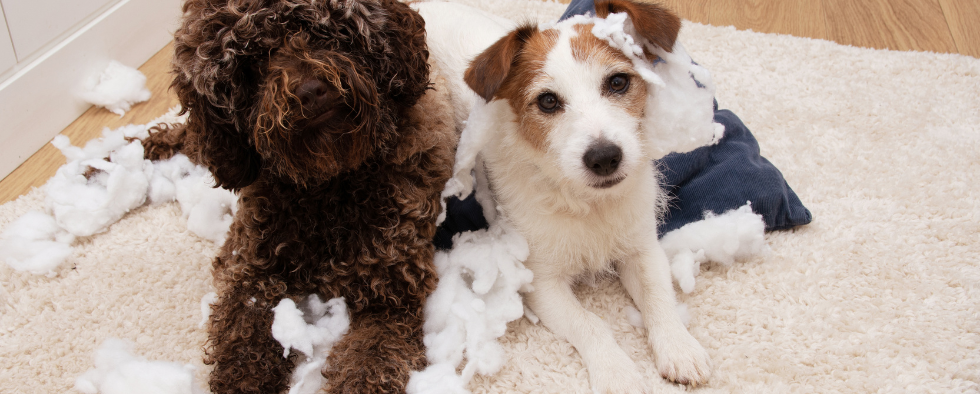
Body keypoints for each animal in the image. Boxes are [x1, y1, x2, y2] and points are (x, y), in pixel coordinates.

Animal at [142, 1, 460, 392]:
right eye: (251, 61)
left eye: (322, 30)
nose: (310, 91)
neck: (329, 186)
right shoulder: (252, 271)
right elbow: (241, 345)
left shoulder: (391, 297)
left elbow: (368, 365)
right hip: (223, 152)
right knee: (192, 137)